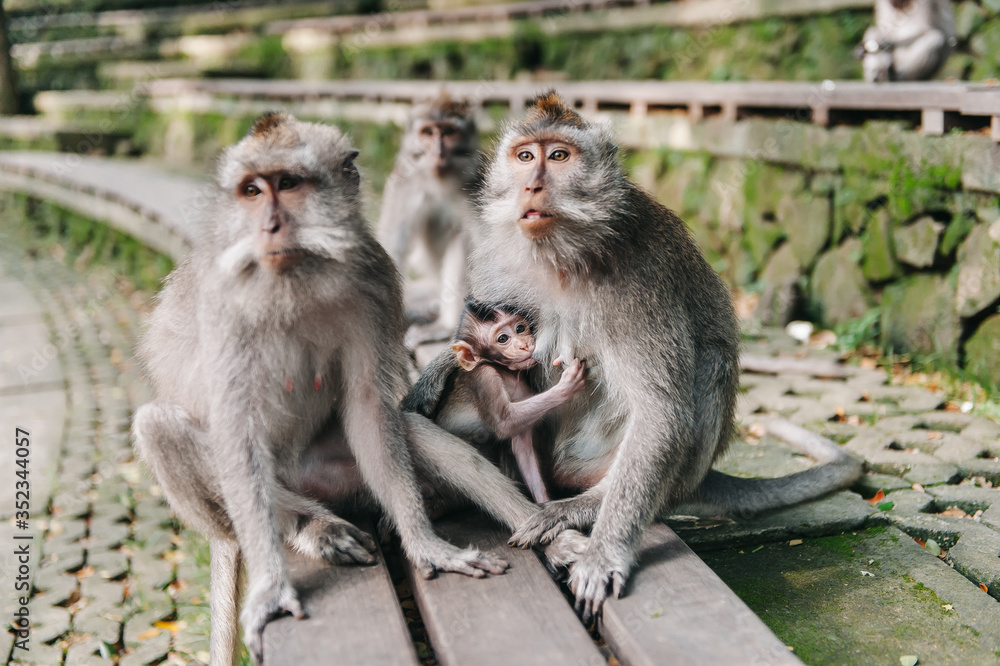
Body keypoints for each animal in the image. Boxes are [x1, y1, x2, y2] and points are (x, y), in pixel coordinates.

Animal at [378, 91, 480, 344]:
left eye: (449, 132)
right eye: (428, 132)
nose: (438, 152)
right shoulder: (404, 184)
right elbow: (394, 245)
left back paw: (446, 325)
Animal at [436, 298, 588, 500]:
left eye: (520, 328)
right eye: (502, 339)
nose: (524, 344)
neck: (504, 371)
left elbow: (522, 446)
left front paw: (542, 500)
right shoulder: (485, 377)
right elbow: (504, 423)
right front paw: (566, 387)